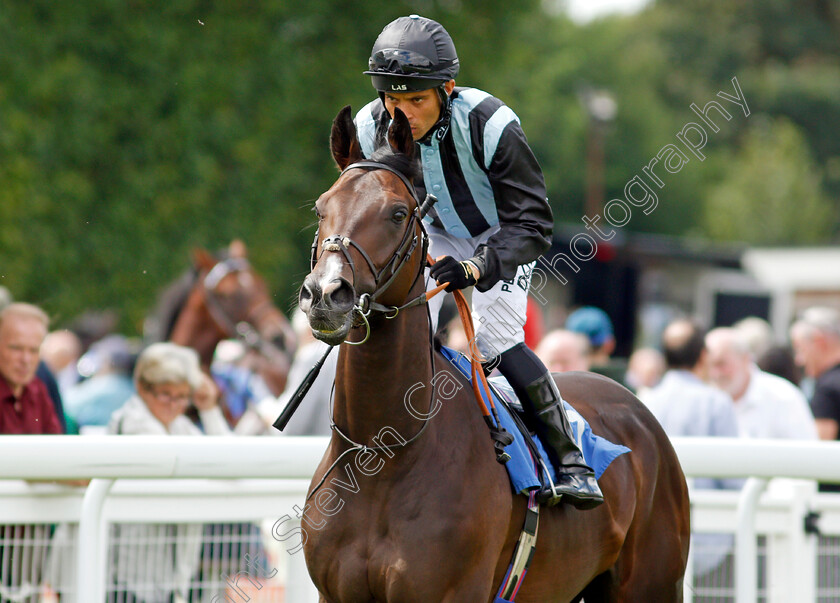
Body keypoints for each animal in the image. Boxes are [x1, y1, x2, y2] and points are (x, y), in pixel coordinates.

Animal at [296, 106, 688, 600]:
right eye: (320, 208)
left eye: (398, 212)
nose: (325, 294)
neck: (383, 455)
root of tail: (634, 405)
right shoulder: (334, 593)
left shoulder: (451, 591)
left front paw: (461, 270)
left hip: (652, 583)